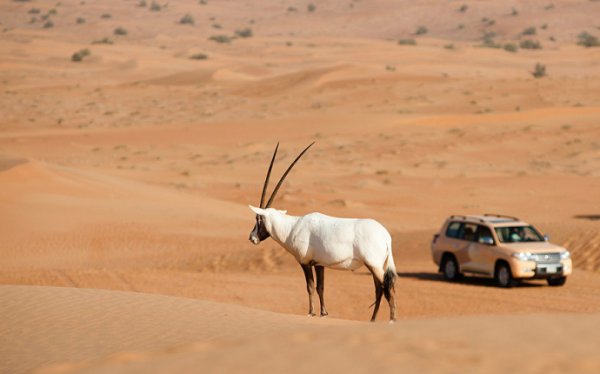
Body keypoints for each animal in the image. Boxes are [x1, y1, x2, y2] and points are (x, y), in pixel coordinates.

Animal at [246, 143, 396, 322]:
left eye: (258, 219)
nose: (252, 238)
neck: (292, 226)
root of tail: (385, 236)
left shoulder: (305, 262)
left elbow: (310, 287)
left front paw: (311, 312)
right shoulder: (319, 264)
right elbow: (320, 287)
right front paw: (324, 313)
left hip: (374, 265)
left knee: (385, 288)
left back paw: (390, 320)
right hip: (378, 265)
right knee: (380, 289)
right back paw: (373, 320)